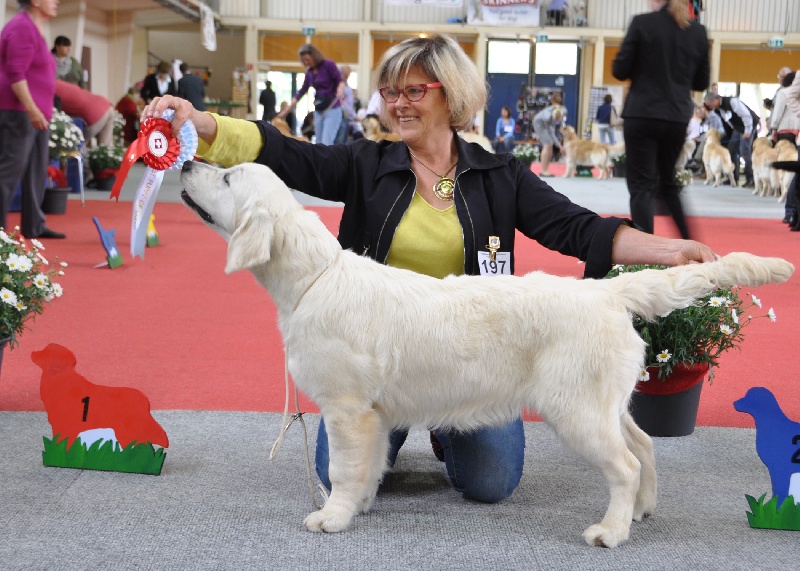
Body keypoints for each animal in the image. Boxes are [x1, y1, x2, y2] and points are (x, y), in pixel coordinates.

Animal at [180, 160, 792, 548]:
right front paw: (358, 507)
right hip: (604, 402)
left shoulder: (347, 408)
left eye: (227, 177)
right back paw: (641, 511)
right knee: (642, 447)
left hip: (576, 409)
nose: (185, 163)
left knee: (624, 464)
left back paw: (611, 532)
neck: (313, 279)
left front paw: (331, 518)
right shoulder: (373, 414)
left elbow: (344, 467)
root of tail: (605, 291)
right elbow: (369, 467)